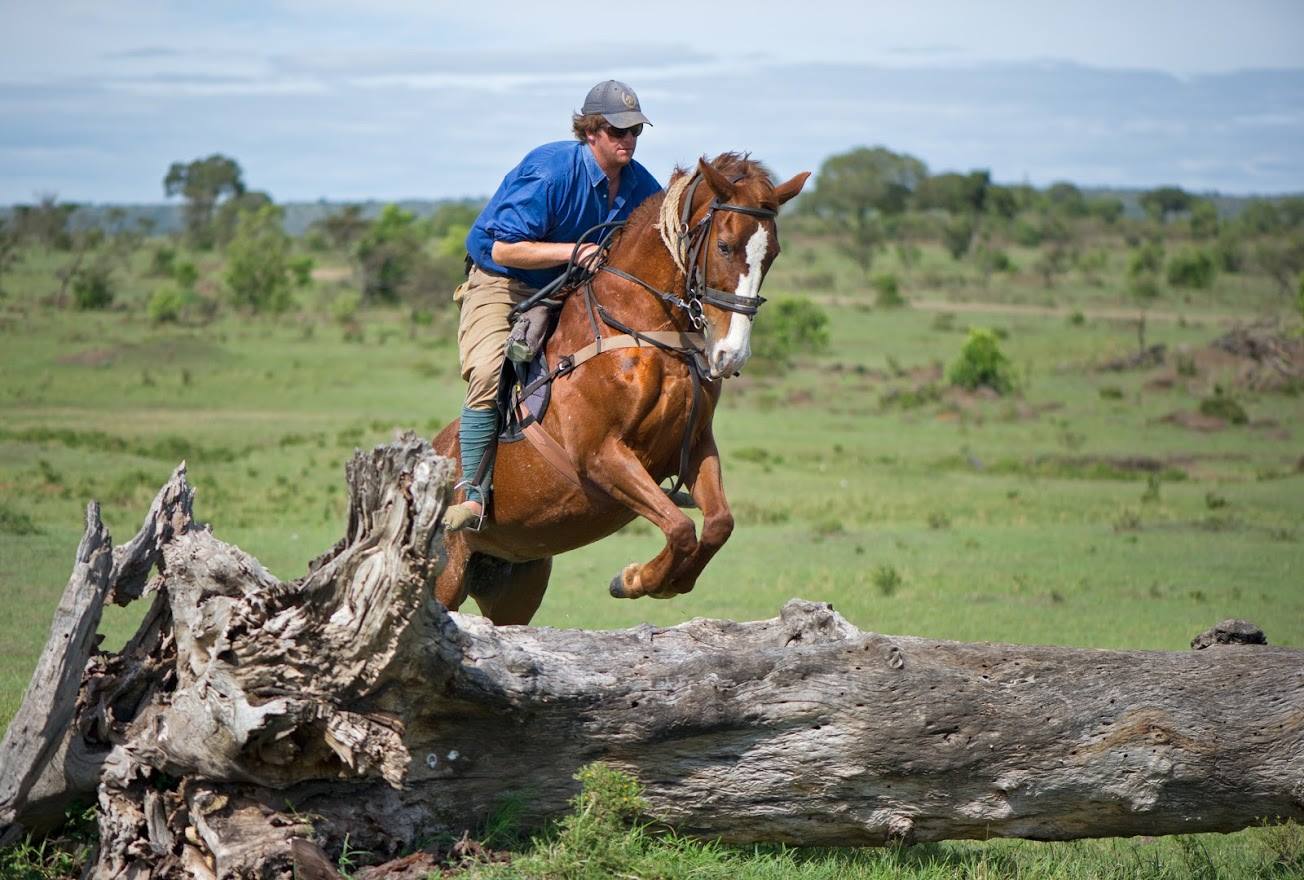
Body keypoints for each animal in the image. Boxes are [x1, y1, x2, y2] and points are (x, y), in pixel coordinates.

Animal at [432, 153, 808, 625]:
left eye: (771, 254)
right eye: (724, 246)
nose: (731, 354)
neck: (646, 325)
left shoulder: (694, 444)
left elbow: (719, 523)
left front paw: (664, 581)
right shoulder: (602, 456)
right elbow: (681, 528)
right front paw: (634, 579)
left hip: (516, 584)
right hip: (445, 578)